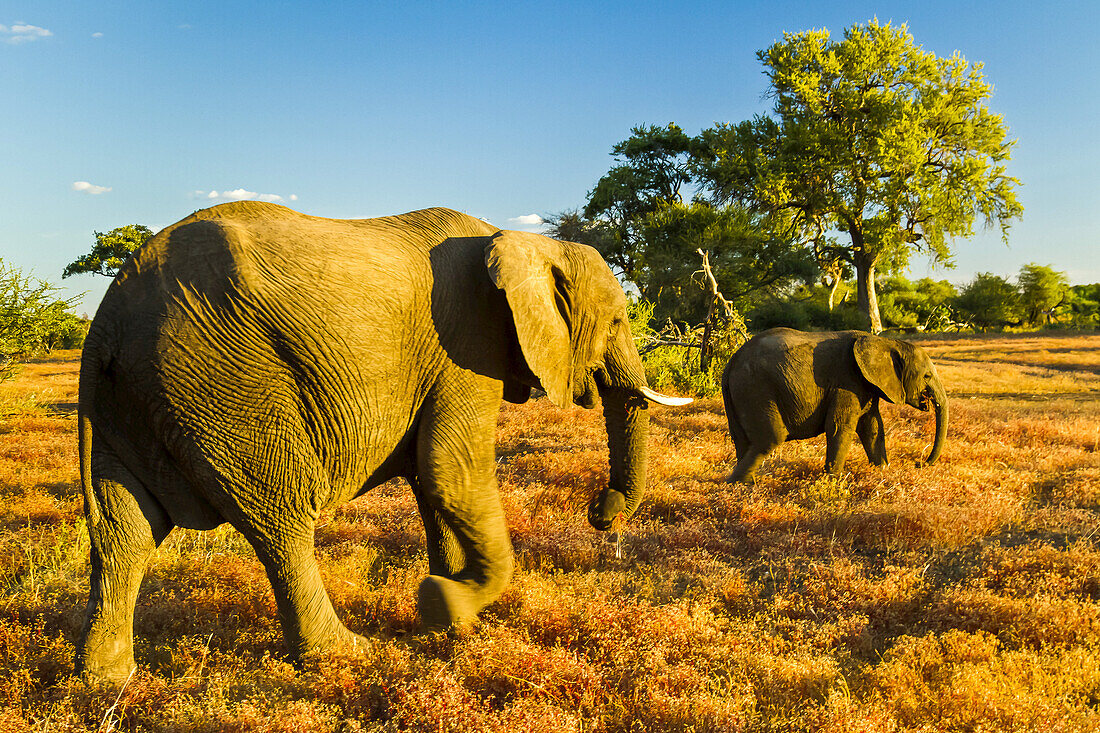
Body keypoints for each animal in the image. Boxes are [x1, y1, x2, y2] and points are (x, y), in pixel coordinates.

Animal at [75, 198, 686, 677]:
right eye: (616, 323)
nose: (602, 512)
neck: (526, 242)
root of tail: (106, 322)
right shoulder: (467, 347)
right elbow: (451, 469)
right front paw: (444, 604)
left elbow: (432, 481)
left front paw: (451, 620)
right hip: (224, 381)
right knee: (279, 515)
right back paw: (344, 653)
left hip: (131, 399)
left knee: (124, 529)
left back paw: (107, 677)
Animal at [721, 325, 946, 479]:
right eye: (926, 376)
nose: (918, 464)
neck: (885, 342)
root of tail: (732, 360)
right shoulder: (845, 381)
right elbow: (840, 427)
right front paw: (834, 480)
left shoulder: (865, 384)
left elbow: (872, 426)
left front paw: (882, 470)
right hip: (755, 388)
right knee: (769, 438)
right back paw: (739, 484)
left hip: (739, 393)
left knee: (742, 439)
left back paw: (744, 485)